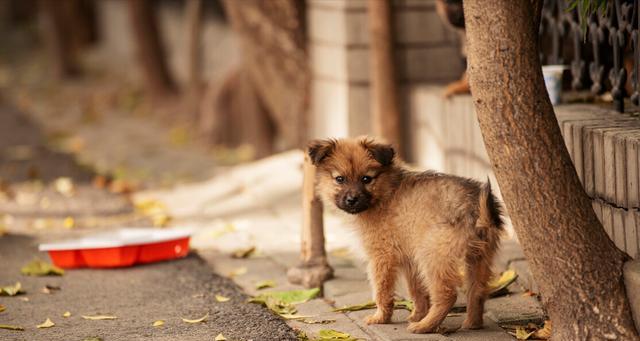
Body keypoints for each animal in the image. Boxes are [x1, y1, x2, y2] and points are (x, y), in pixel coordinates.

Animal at [310, 135, 504, 332]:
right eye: (339, 179)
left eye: (366, 179)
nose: (352, 200)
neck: (385, 192)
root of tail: (476, 207)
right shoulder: (410, 260)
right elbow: (416, 291)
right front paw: (417, 314)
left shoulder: (381, 256)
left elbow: (382, 291)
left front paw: (381, 318)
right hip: (478, 257)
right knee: (477, 291)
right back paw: (472, 323)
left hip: (432, 255)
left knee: (447, 294)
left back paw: (424, 326)